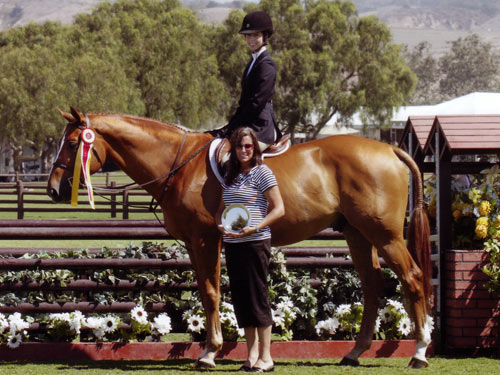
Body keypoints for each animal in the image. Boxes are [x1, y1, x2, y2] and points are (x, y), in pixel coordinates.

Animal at [48, 108, 436, 370]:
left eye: (73, 143)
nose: (53, 190)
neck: (180, 165)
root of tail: (389, 150)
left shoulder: (206, 239)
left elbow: (211, 293)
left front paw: (209, 352)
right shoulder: (196, 243)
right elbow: (210, 291)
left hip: (386, 236)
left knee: (412, 279)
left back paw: (419, 352)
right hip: (358, 235)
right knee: (372, 287)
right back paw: (355, 352)